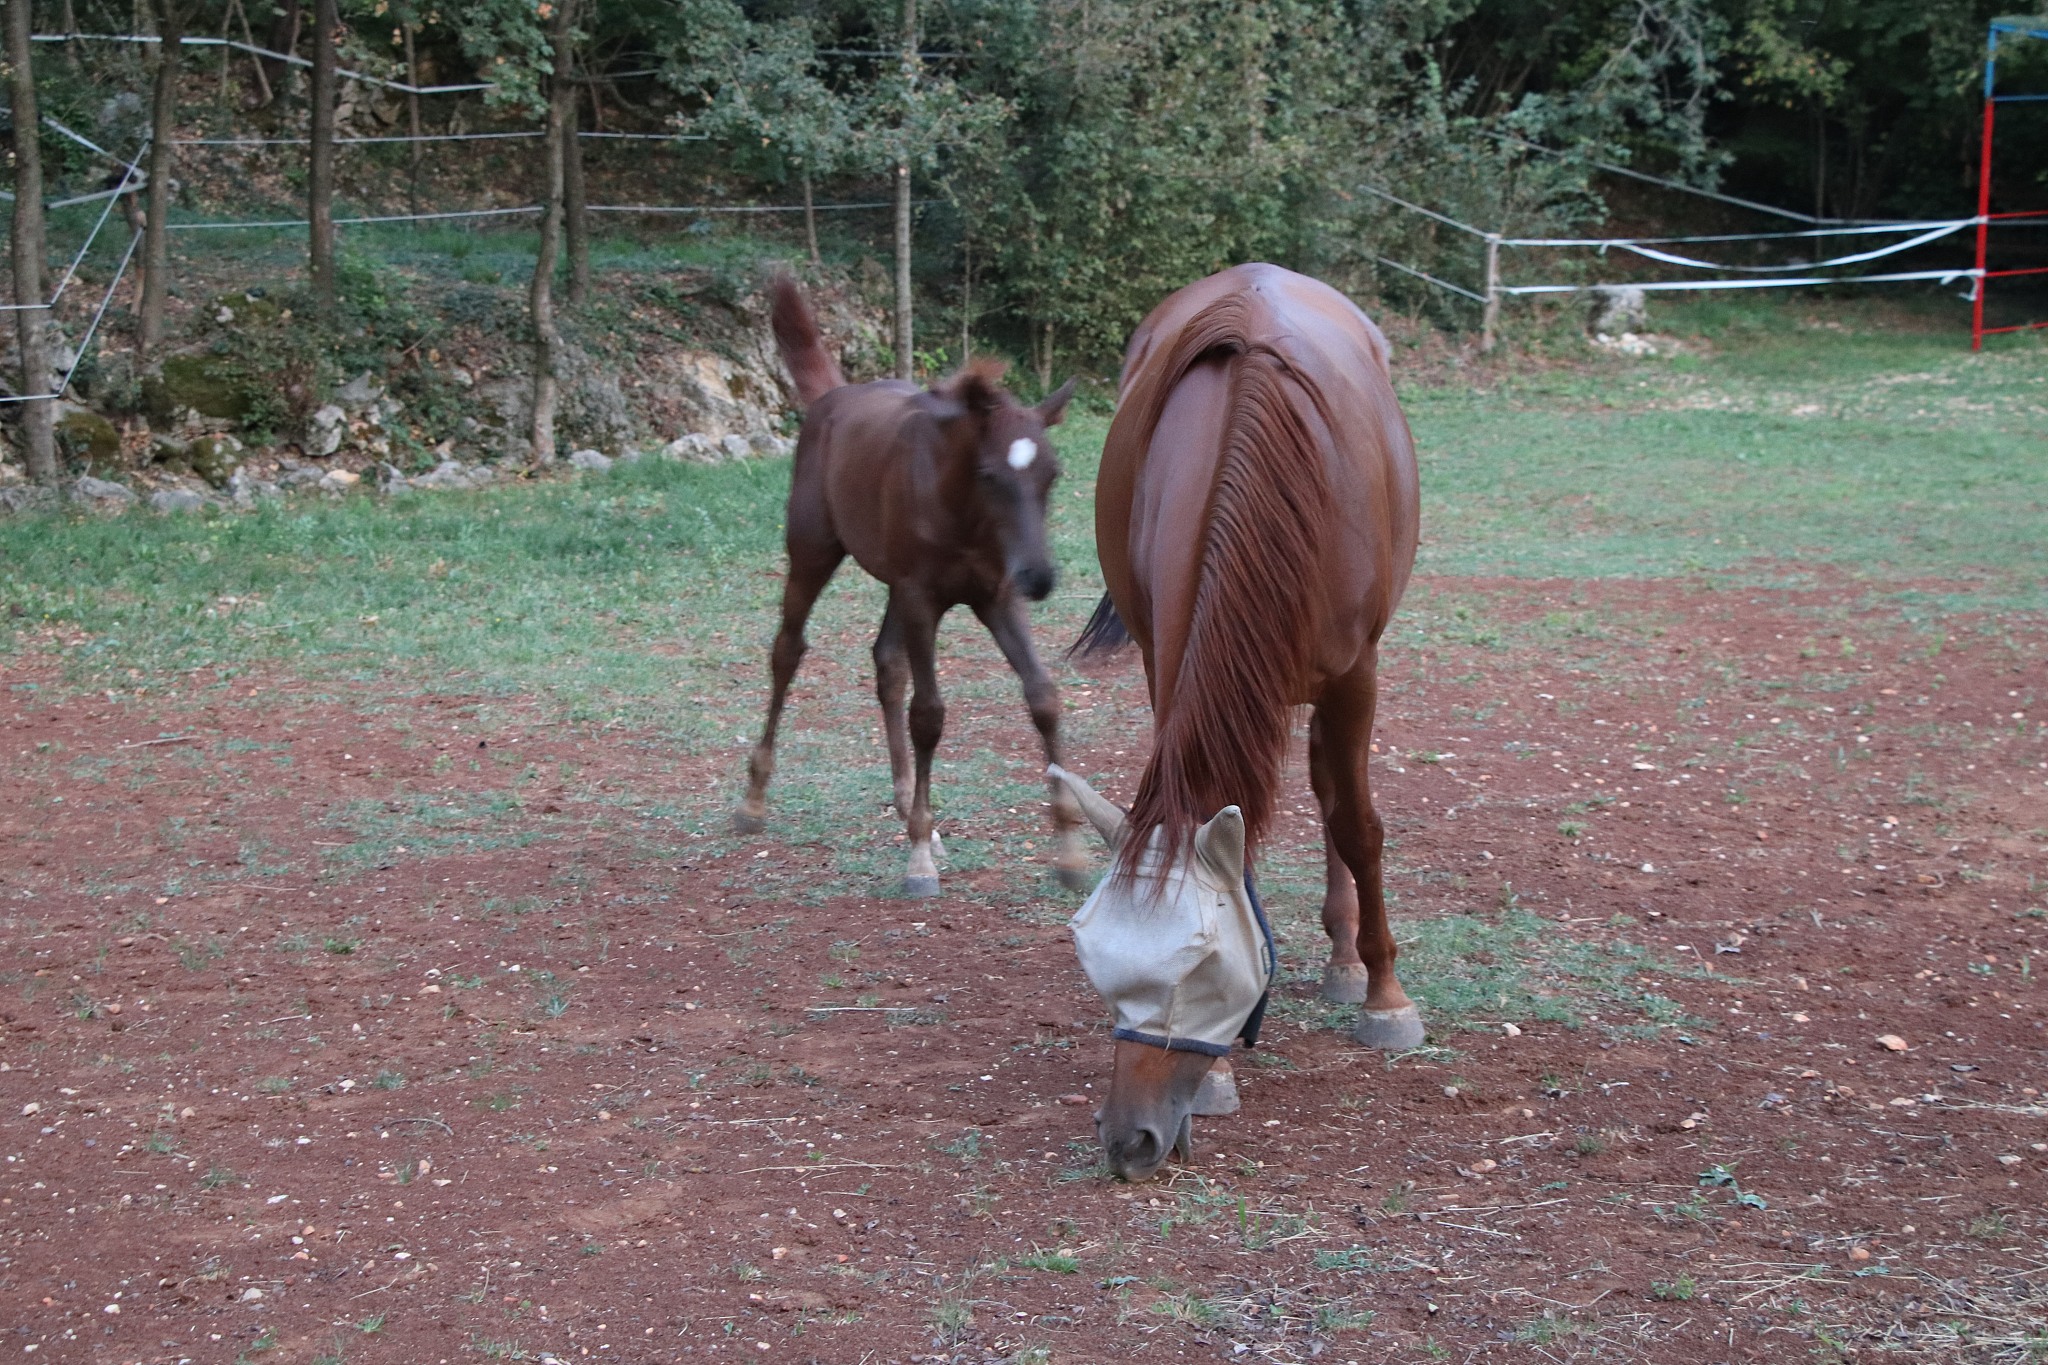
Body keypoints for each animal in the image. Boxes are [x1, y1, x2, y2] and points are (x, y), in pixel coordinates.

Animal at [733, 276, 1089, 898]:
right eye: (989, 474)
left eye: (1053, 474)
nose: (1040, 577)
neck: (960, 509)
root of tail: (834, 398)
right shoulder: (925, 598)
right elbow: (929, 715)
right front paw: (919, 858)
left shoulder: (994, 596)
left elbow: (1043, 696)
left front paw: (1068, 852)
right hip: (813, 553)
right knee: (787, 651)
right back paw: (755, 800)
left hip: (896, 587)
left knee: (886, 663)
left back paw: (907, 808)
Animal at [1052, 262, 1421, 1181]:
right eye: (1093, 959)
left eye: (1203, 966)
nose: (1128, 1137)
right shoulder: (1167, 664)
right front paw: (1220, 1079)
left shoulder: (1356, 675)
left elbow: (1358, 824)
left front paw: (1386, 998)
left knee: (1332, 794)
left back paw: (1348, 962)